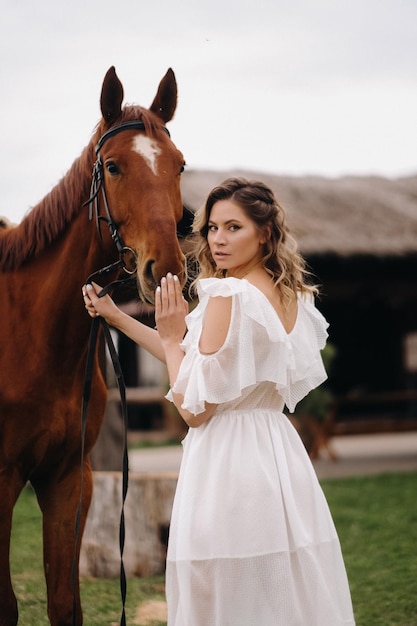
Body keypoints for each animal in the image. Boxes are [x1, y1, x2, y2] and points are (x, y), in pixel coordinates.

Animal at [0, 66, 185, 620]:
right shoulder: (1, 480)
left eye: (179, 166)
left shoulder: (69, 480)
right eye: (112, 166)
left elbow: (66, 604)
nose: (165, 269)